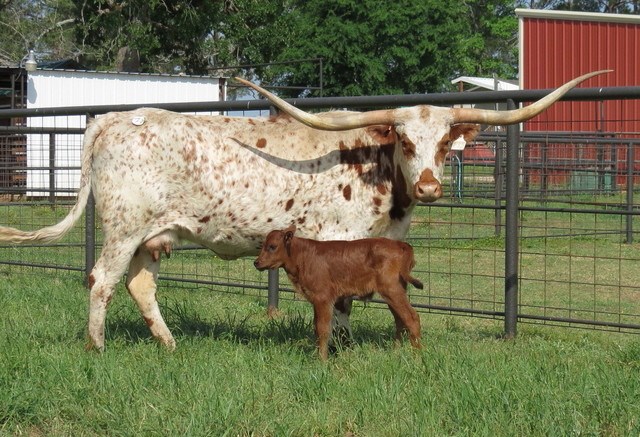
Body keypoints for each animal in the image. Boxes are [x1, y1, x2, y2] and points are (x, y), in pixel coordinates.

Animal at [254, 225, 422, 360]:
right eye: (262, 245)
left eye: (272, 246)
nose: (256, 262)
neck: (302, 257)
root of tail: (400, 244)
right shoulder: (316, 300)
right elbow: (316, 327)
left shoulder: (323, 298)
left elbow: (323, 328)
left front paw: (322, 360)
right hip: (394, 292)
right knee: (400, 319)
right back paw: (396, 352)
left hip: (392, 290)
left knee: (411, 317)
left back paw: (417, 356)